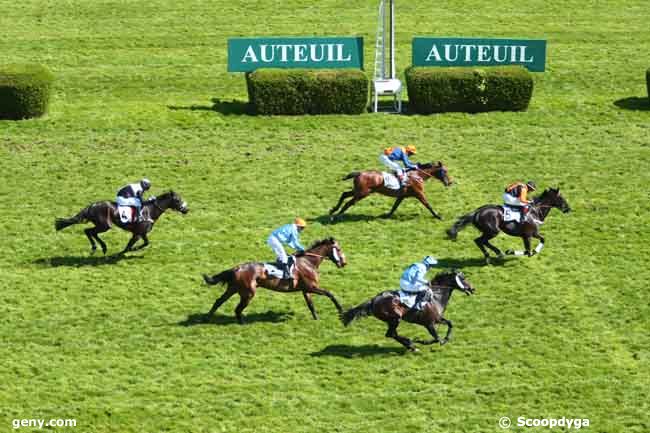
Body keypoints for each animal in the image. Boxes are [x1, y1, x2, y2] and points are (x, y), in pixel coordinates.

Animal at [55, 191, 187, 255]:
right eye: (177, 200)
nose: (186, 209)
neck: (149, 211)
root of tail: (92, 206)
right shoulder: (138, 233)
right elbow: (131, 246)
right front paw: (129, 250)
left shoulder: (140, 233)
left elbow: (145, 243)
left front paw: (131, 249)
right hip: (105, 225)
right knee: (89, 231)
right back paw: (97, 247)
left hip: (102, 225)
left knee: (89, 232)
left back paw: (102, 247)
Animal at [202, 236, 346, 324]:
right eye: (339, 249)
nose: (344, 263)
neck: (308, 262)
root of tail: (236, 268)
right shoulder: (312, 287)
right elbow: (330, 294)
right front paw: (341, 310)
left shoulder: (306, 289)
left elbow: (311, 305)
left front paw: (316, 318)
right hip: (248, 293)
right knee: (237, 309)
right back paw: (242, 323)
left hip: (233, 288)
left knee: (219, 301)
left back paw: (207, 318)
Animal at [342, 270, 474, 352]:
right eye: (463, 278)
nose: (472, 289)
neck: (436, 296)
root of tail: (374, 300)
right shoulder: (429, 323)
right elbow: (436, 338)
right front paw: (421, 341)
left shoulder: (437, 319)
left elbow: (450, 324)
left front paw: (446, 339)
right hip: (395, 319)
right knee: (390, 334)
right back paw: (411, 345)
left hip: (392, 320)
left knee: (392, 334)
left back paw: (410, 345)